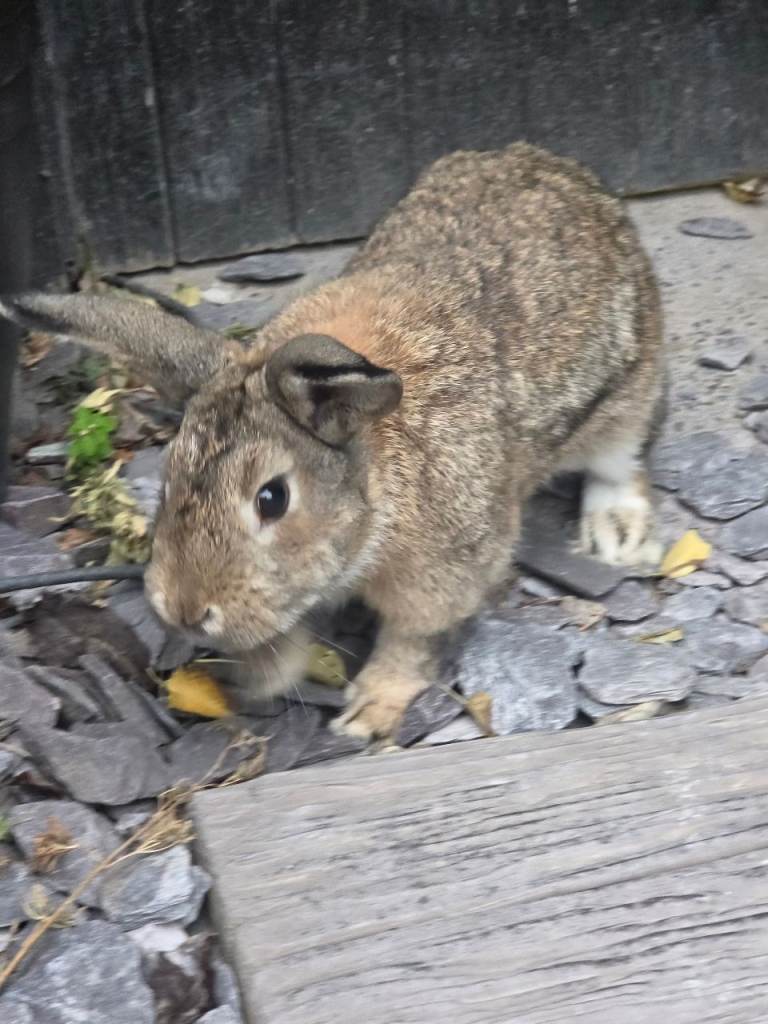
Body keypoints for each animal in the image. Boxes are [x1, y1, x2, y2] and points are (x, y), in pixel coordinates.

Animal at [1, 142, 663, 741]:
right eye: (169, 479)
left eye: (272, 499)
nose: (186, 610)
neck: (377, 474)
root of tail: (570, 175)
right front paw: (262, 679)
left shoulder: (447, 567)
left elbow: (414, 640)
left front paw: (367, 712)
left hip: (625, 397)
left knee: (621, 460)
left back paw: (615, 532)